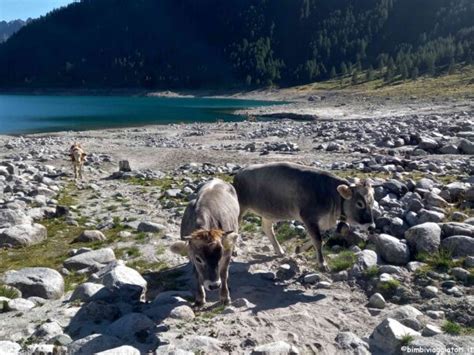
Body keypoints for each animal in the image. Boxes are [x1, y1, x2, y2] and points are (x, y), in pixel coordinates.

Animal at [169, 179, 239, 308]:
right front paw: (200, 299)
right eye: (198, 259)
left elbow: (223, 274)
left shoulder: (227, 254)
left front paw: (225, 297)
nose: (214, 285)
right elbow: (197, 275)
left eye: (220, 255)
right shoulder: (191, 255)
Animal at [232, 163, 374, 272]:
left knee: (267, 228)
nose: (372, 226)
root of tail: (241, 171)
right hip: (241, 207)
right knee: (236, 228)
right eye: (360, 203)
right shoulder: (309, 217)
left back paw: (279, 250)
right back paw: (234, 250)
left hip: (268, 212)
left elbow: (323, 237)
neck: (332, 195)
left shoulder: (322, 221)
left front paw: (299, 248)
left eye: (372, 202)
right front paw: (322, 264)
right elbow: (318, 240)